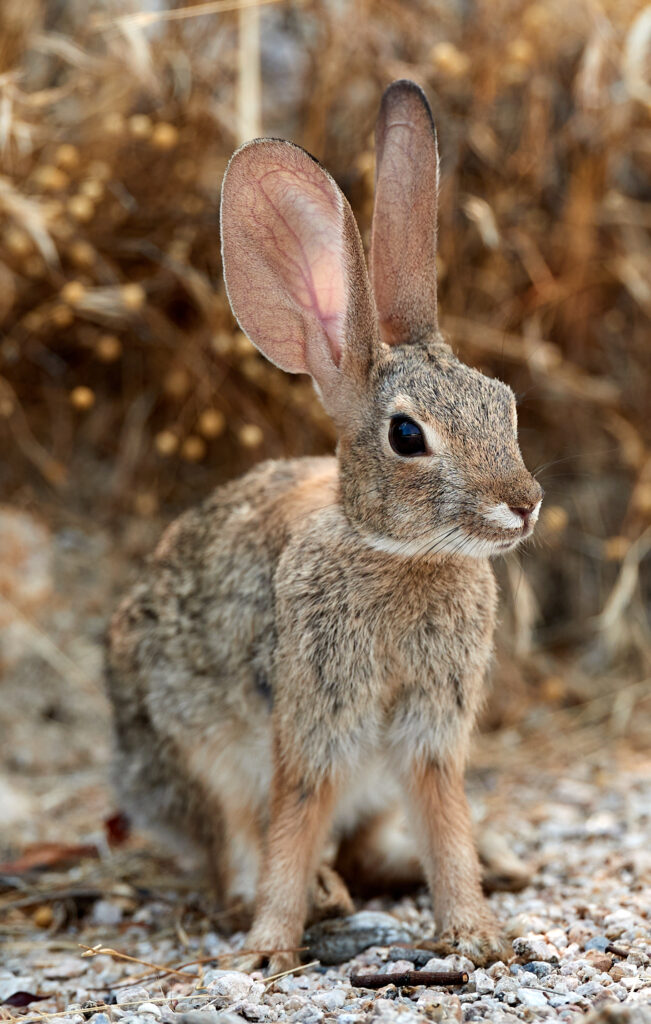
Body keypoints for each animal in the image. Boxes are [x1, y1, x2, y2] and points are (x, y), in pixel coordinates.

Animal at [106, 79, 543, 974]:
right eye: (406, 436)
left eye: (503, 403)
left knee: (372, 848)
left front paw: (476, 933)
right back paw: (319, 897)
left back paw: (490, 867)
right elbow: (293, 817)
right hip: (192, 758)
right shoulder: (313, 717)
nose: (522, 504)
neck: (398, 555)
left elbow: (445, 819)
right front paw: (269, 946)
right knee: (235, 849)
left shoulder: (430, 732)